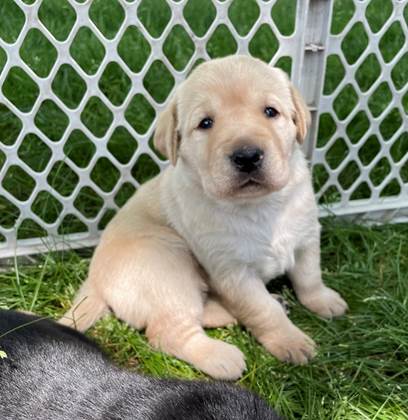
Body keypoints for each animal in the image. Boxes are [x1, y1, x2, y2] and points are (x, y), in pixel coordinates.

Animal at [60, 55, 348, 380]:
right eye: (206, 123)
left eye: (270, 111)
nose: (247, 156)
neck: (259, 206)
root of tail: (94, 282)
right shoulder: (233, 272)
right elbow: (262, 310)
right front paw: (290, 340)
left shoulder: (307, 236)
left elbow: (309, 276)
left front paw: (323, 300)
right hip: (167, 263)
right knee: (167, 332)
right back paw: (222, 357)